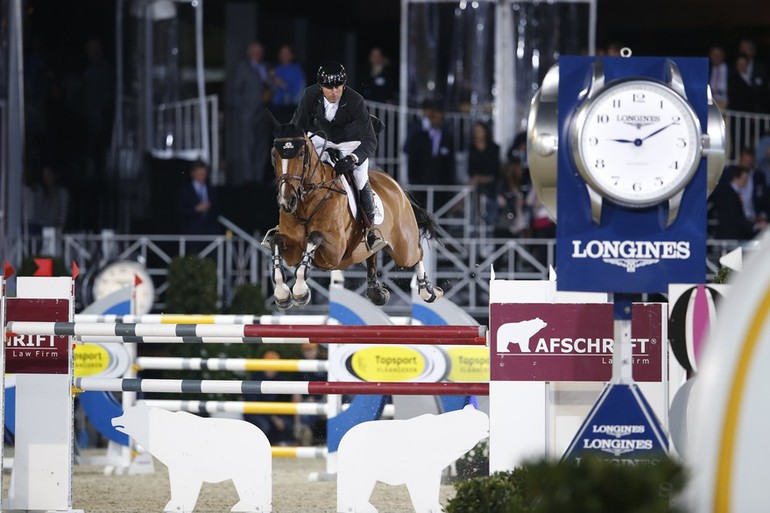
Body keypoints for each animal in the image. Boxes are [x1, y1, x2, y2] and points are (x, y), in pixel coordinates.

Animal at [262, 123, 444, 308]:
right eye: (274, 155)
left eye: (300, 154)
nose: (286, 202)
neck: (309, 198)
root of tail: (395, 184)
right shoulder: (292, 249)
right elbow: (277, 241)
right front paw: (282, 295)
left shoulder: (334, 251)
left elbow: (314, 238)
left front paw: (300, 291)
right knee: (372, 255)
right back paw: (377, 291)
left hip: (404, 248)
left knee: (416, 254)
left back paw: (429, 291)